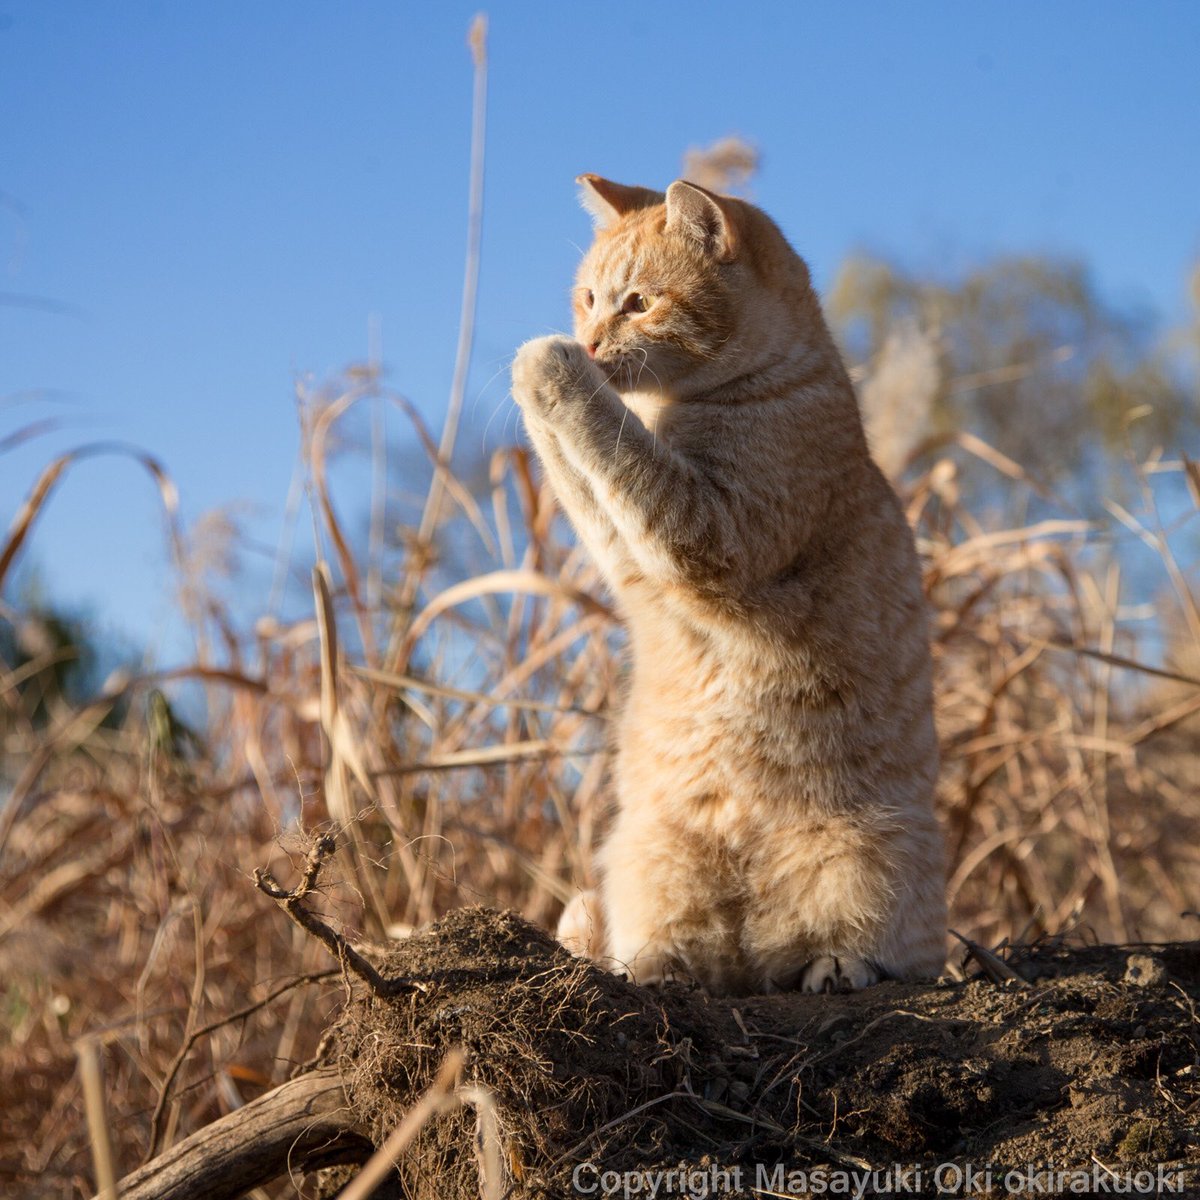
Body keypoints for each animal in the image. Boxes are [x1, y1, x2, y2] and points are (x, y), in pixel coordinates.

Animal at [513, 171, 945, 993]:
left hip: (874, 853)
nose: (589, 340)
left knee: (875, 942)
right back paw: (658, 970)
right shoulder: (631, 561)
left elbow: (615, 446)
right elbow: (594, 474)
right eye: (588, 298)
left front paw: (546, 363)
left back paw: (835, 964)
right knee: (682, 945)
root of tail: (757, 954)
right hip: (649, 859)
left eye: (638, 303)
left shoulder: (708, 535)